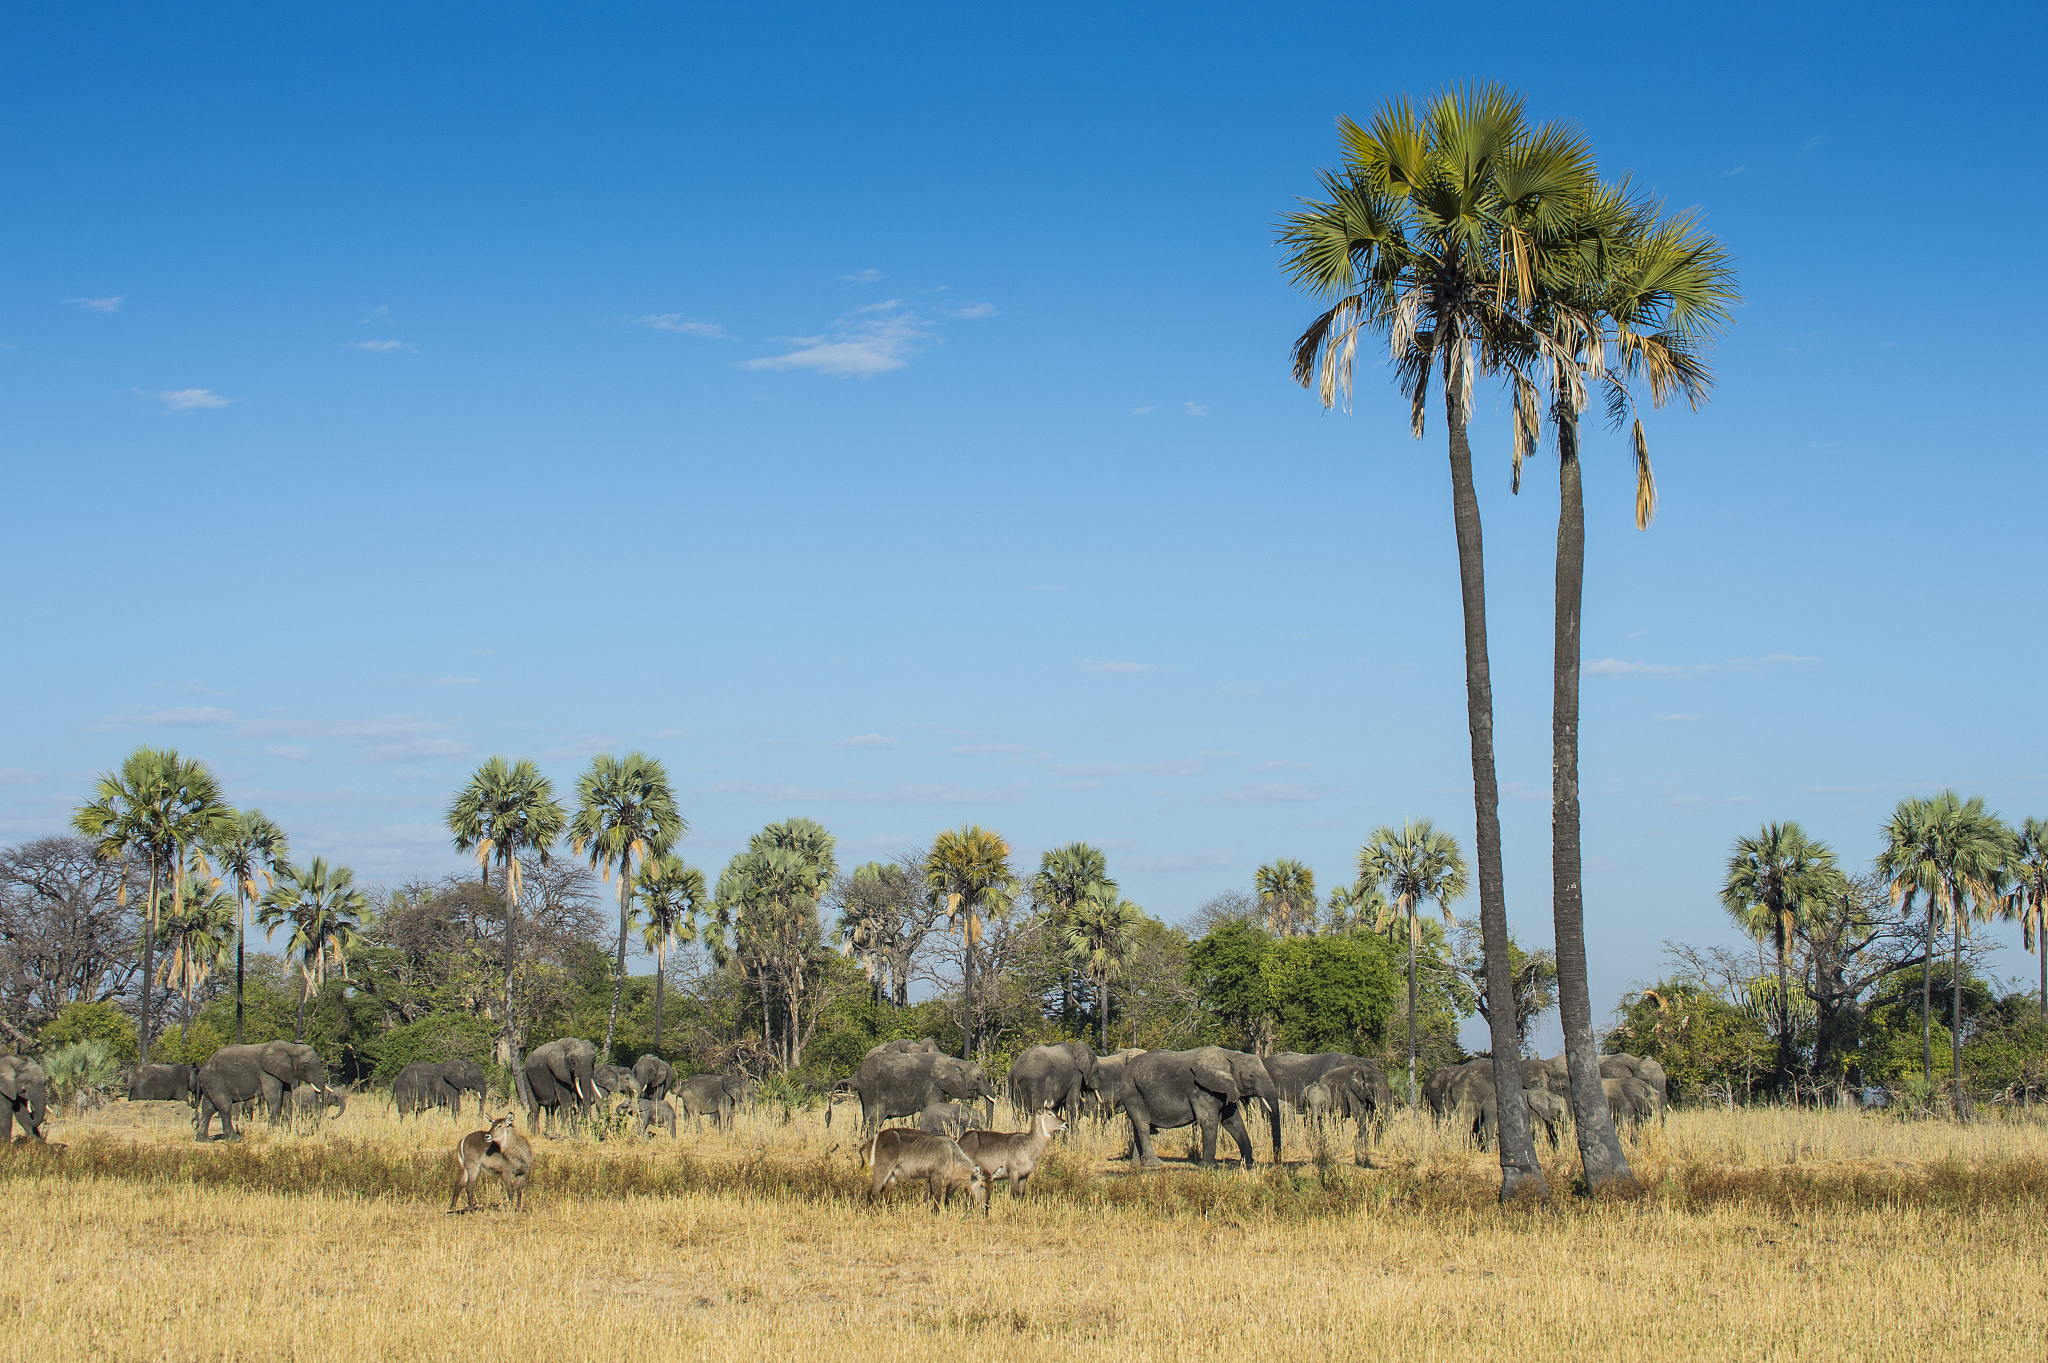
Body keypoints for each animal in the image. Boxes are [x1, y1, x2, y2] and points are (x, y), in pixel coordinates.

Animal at [194, 1043, 333, 1141]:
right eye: (304, 1066)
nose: (312, 1131)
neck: (290, 1047)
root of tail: (205, 1066)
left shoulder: (283, 1073)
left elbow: (287, 1098)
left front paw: (285, 1133)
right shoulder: (266, 1072)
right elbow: (274, 1098)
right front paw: (274, 1133)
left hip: (209, 1082)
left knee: (209, 1108)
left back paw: (204, 1140)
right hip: (214, 1079)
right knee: (224, 1105)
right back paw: (235, 1139)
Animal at [835, 1052, 998, 1134]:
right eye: (978, 1078)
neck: (953, 1061)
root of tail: (855, 1076)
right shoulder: (932, 1085)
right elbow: (933, 1106)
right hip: (872, 1091)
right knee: (874, 1122)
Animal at [1117, 1047, 1281, 1168]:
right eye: (1251, 1076)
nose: (1277, 1163)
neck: (1229, 1055)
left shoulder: (1225, 1089)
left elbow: (1233, 1122)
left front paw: (1249, 1164)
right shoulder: (1200, 1089)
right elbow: (1209, 1121)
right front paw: (1209, 1166)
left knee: (1137, 1126)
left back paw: (1137, 1166)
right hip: (1131, 1091)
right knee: (1143, 1125)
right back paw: (1155, 1164)